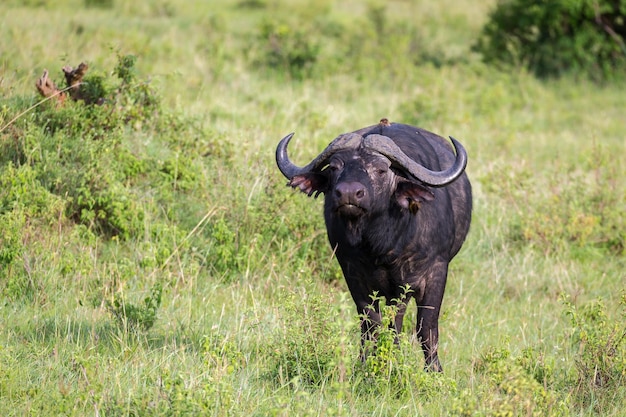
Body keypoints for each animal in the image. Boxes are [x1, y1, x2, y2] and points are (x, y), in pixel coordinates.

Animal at [276, 119, 470, 370]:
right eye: (334, 167)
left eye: (380, 169)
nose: (348, 193)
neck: (381, 245)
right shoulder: (354, 275)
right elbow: (371, 324)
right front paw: (367, 364)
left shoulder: (433, 273)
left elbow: (425, 328)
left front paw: (433, 371)